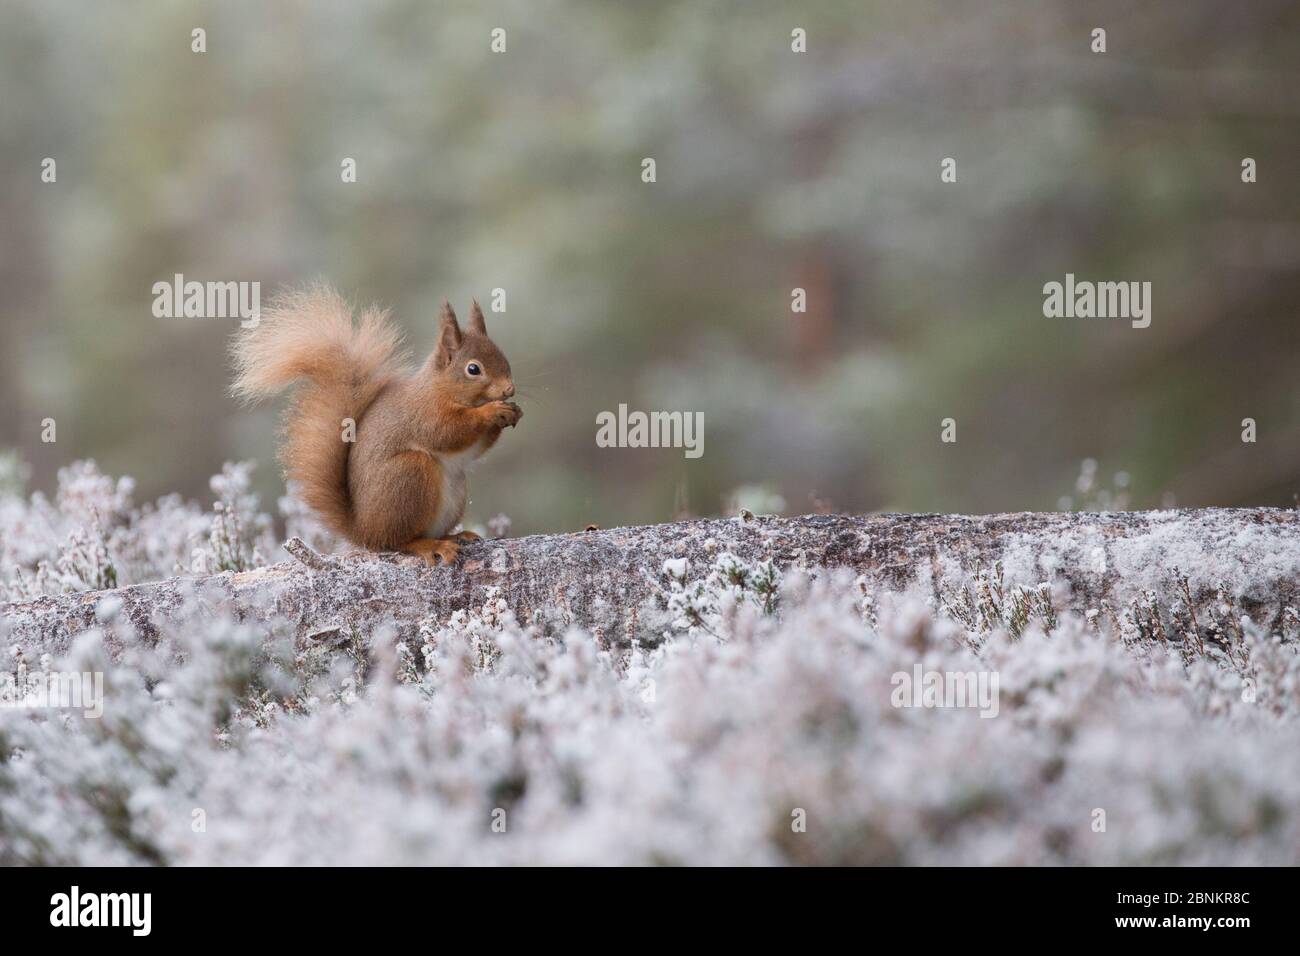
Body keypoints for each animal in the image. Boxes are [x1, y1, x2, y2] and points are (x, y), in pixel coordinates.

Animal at [231, 287, 520, 564]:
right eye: (473, 369)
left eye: (504, 356)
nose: (509, 389)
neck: (441, 388)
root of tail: (364, 532)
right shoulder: (425, 414)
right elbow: (447, 432)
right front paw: (491, 411)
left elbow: (476, 448)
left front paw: (512, 413)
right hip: (409, 474)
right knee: (399, 540)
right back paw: (430, 545)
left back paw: (456, 535)